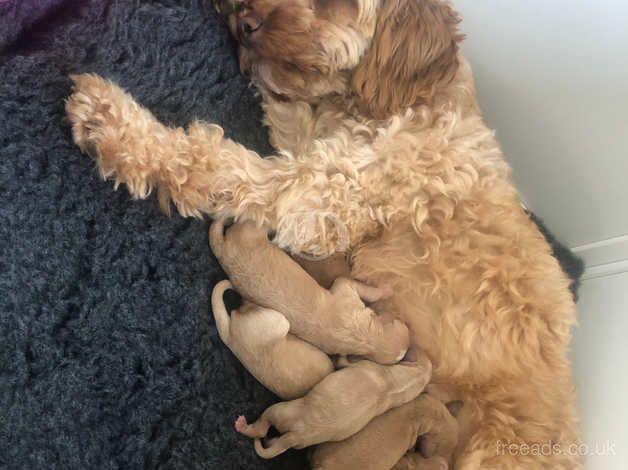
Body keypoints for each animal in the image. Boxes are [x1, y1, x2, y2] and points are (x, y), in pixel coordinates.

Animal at [209, 218, 410, 366]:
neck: (362, 338)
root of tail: (223, 251)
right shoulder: (345, 289)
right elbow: (363, 289)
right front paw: (386, 290)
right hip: (252, 231)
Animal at [234, 352, 432, 458]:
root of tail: (296, 436)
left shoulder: (363, 365)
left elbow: (343, 362)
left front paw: (342, 355)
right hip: (297, 439)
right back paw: (271, 440)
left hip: (281, 410)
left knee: (262, 427)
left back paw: (244, 426)